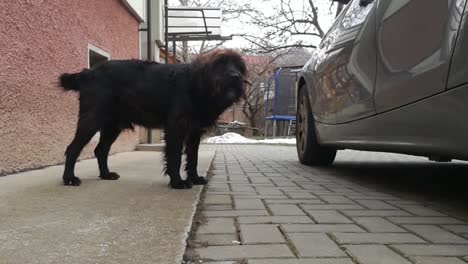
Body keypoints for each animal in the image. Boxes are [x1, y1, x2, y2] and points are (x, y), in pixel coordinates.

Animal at [59, 49, 249, 189]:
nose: (235, 76)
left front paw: (194, 178)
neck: (197, 84)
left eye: (238, 66)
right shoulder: (175, 128)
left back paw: (106, 174)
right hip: (91, 120)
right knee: (72, 149)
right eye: (219, 64)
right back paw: (69, 178)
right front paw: (177, 182)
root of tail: (87, 73)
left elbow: (192, 158)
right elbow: (174, 156)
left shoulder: (195, 132)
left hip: (113, 126)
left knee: (101, 150)